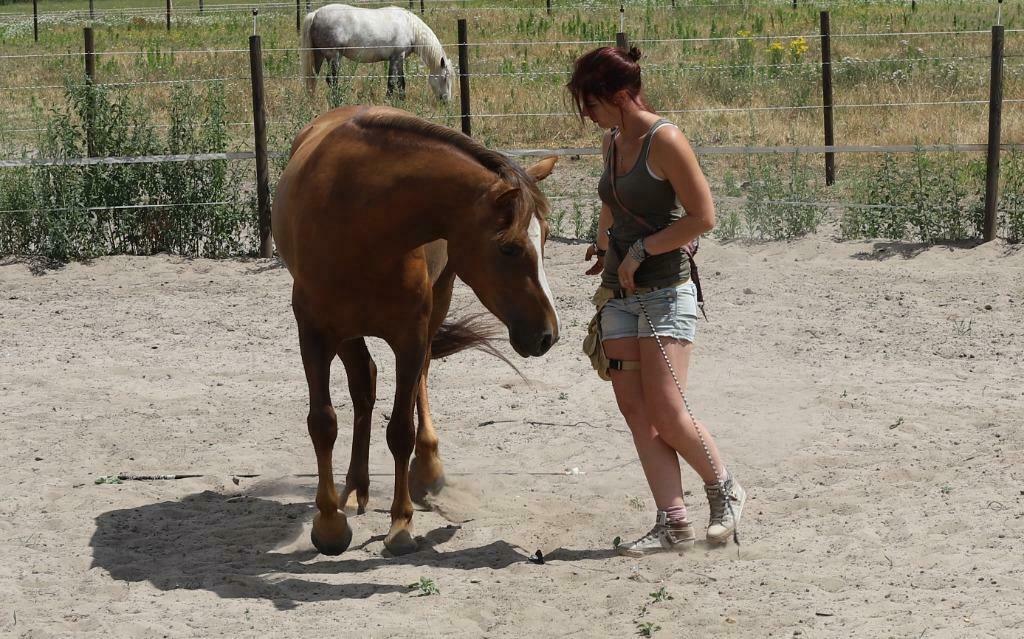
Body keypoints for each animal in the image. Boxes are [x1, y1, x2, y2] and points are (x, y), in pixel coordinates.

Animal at [271, 105, 559, 556]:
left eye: (545, 237)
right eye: (509, 247)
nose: (547, 334)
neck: (360, 218)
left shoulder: (409, 336)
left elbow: (400, 430)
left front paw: (401, 523)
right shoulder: (315, 334)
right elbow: (322, 423)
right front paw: (329, 524)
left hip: (435, 306)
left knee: (417, 380)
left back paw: (426, 467)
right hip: (348, 332)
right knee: (364, 385)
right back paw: (354, 488)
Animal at [300, 4, 453, 102]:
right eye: (445, 77)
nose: (446, 101)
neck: (410, 27)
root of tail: (315, 14)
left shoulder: (399, 58)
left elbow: (401, 81)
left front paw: (402, 101)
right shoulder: (396, 58)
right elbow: (392, 82)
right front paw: (388, 102)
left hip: (319, 56)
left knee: (313, 78)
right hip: (334, 57)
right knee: (332, 80)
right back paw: (337, 101)